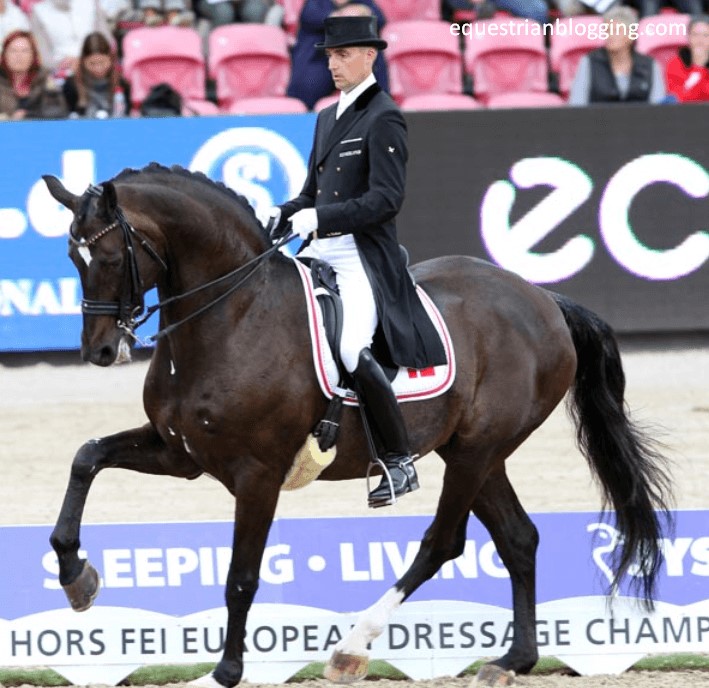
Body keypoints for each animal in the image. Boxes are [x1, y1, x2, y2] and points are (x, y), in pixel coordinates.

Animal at [42, 164, 672, 687]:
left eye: (107, 258)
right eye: (73, 259)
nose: (100, 351)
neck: (233, 315)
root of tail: (541, 298)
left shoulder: (257, 475)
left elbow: (241, 576)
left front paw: (222, 674)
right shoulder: (182, 455)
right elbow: (85, 456)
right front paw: (76, 575)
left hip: (477, 451)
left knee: (442, 541)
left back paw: (352, 646)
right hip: (469, 452)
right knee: (518, 538)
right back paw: (513, 660)